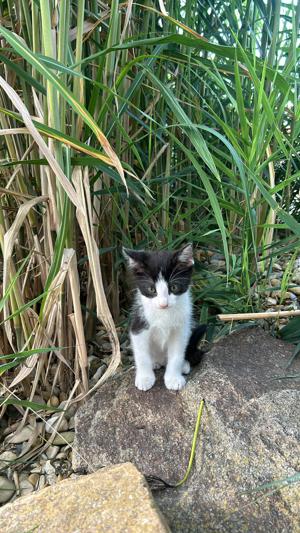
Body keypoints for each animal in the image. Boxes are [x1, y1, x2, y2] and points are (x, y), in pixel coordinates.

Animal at [123, 243, 205, 388]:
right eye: (151, 289)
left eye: (174, 287)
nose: (163, 304)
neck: (164, 314)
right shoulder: (139, 324)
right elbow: (141, 355)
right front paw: (145, 378)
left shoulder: (181, 329)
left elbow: (176, 354)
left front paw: (173, 379)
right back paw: (155, 363)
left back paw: (183, 365)